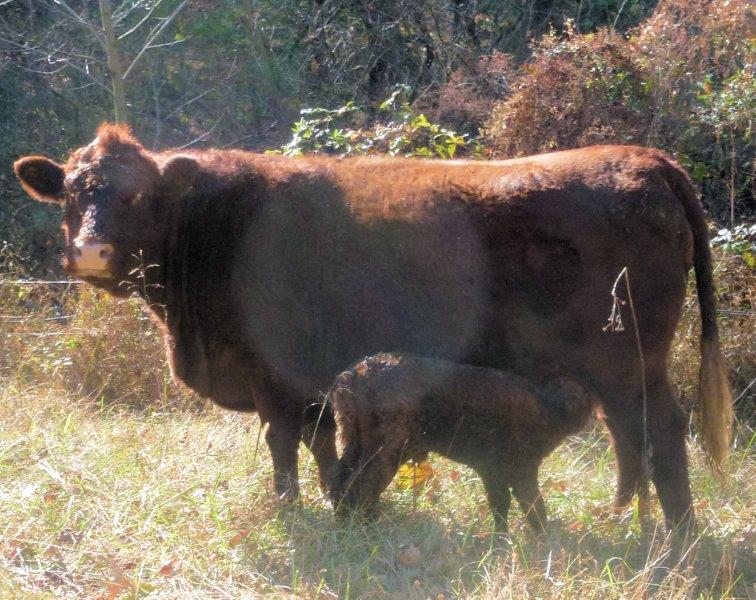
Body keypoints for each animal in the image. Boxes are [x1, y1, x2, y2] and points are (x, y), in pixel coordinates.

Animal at [328, 353, 595, 533]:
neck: (546, 407)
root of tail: (352, 376)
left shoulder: (492, 471)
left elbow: (501, 505)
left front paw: (501, 540)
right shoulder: (521, 468)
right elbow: (533, 506)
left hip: (354, 441)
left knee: (340, 479)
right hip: (387, 450)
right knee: (360, 484)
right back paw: (366, 526)